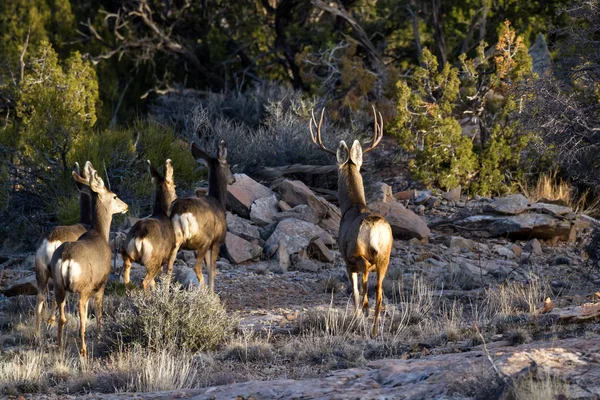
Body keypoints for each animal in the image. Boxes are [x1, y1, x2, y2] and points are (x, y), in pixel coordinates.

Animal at [34, 162, 91, 338]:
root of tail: (51, 239)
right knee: (55, 296)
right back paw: (51, 321)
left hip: (41, 271)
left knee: (41, 296)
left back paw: (37, 332)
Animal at [50, 161, 129, 354]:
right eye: (114, 196)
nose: (126, 206)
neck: (99, 234)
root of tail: (66, 258)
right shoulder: (102, 282)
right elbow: (99, 311)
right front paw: (100, 335)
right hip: (83, 287)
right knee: (81, 318)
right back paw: (84, 350)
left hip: (58, 286)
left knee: (62, 317)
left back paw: (60, 347)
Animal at [121, 159, 176, 290]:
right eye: (175, 186)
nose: (176, 197)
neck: (162, 213)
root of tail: (139, 236)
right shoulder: (171, 252)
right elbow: (167, 273)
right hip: (154, 259)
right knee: (146, 281)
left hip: (126, 253)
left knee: (127, 277)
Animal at [169, 141, 237, 290]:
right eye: (229, 166)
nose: (233, 180)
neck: (218, 201)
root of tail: (181, 213)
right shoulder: (217, 241)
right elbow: (212, 271)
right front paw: (211, 292)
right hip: (203, 240)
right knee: (197, 268)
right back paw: (203, 292)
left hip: (175, 241)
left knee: (168, 268)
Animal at [310, 108, 394, 336]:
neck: (352, 207)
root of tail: (375, 229)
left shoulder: (346, 260)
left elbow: (355, 294)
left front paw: (357, 318)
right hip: (385, 257)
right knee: (379, 296)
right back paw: (374, 331)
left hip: (358, 255)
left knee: (363, 293)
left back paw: (364, 317)